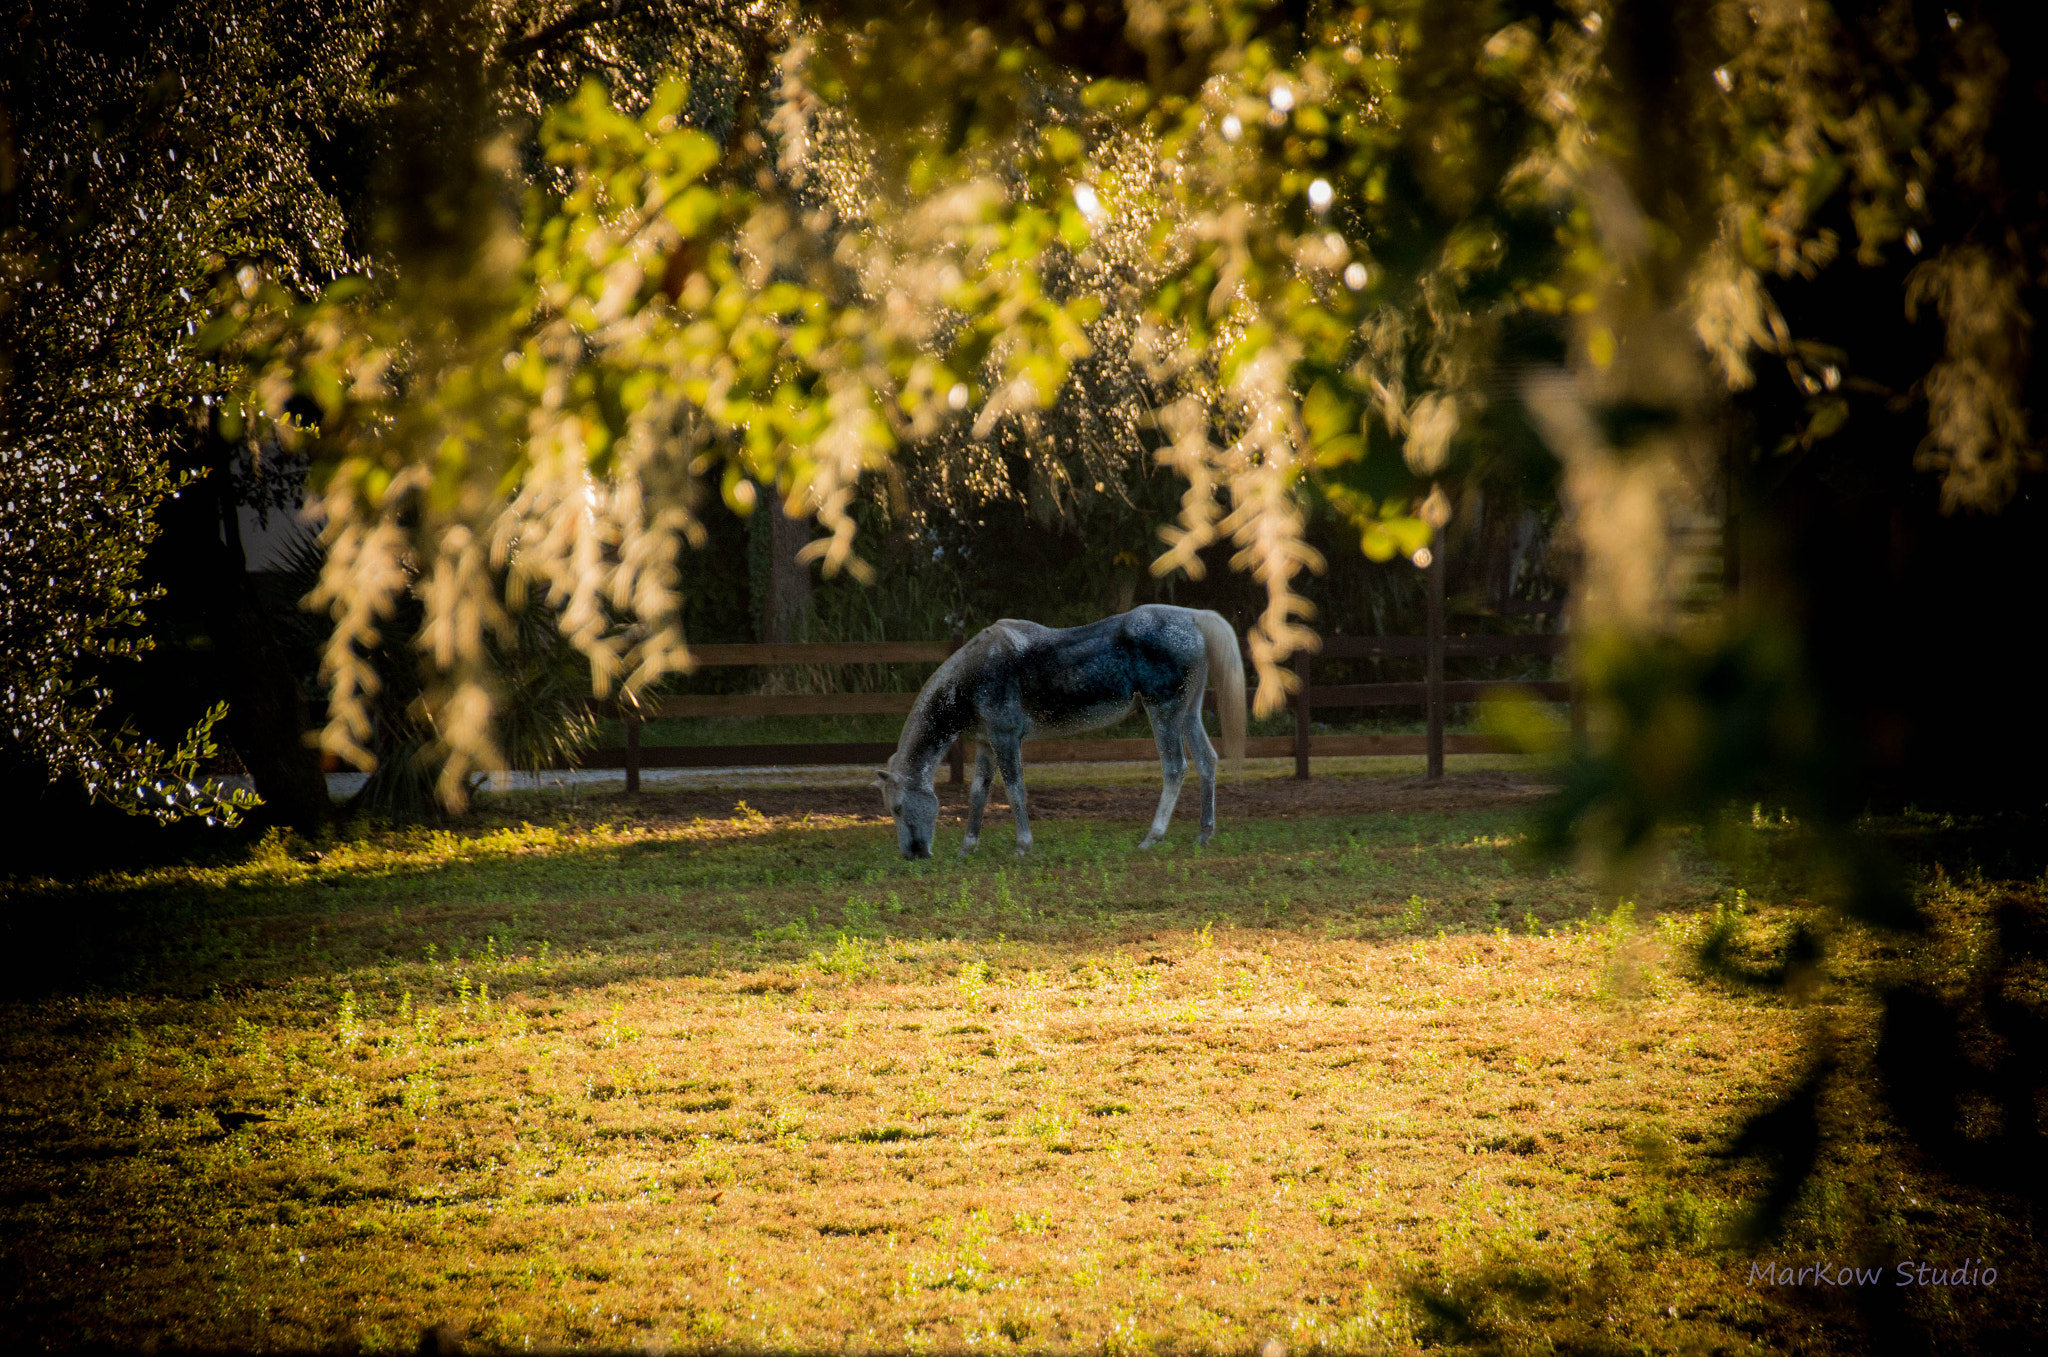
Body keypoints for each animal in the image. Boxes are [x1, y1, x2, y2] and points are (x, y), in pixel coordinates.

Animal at [868, 605, 1236, 859]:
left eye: (897, 808)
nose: (912, 855)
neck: (974, 675)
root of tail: (1192, 617)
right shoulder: (986, 743)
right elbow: (977, 794)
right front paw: (967, 847)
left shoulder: (1006, 738)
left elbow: (1015, 790)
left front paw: (1022, 846)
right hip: (1188, 715)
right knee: (1207, 762)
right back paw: (1204, 835)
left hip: (1164, 713)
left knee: (1175, 769)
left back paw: (1152, 838)